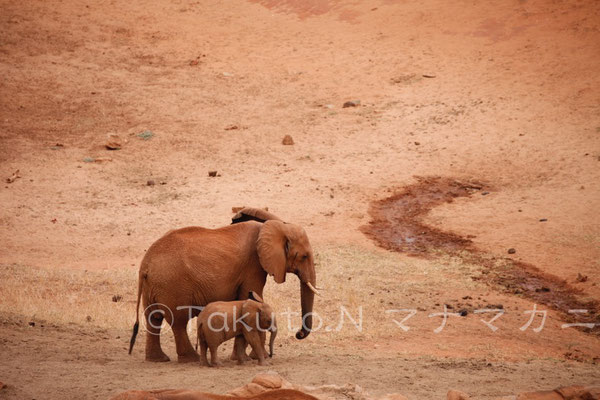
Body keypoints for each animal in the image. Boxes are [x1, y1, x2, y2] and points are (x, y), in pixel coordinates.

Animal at [127, 209, 318, 362]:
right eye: (304, 256)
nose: (298, 334)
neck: (277, 227)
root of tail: (145, 265)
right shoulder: (253, 266)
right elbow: (252, 297)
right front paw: (254, 357)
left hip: (154, 285)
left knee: (153, 319)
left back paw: (158, 360)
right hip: (172, 285)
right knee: (178, 321)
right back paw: (191, 359)